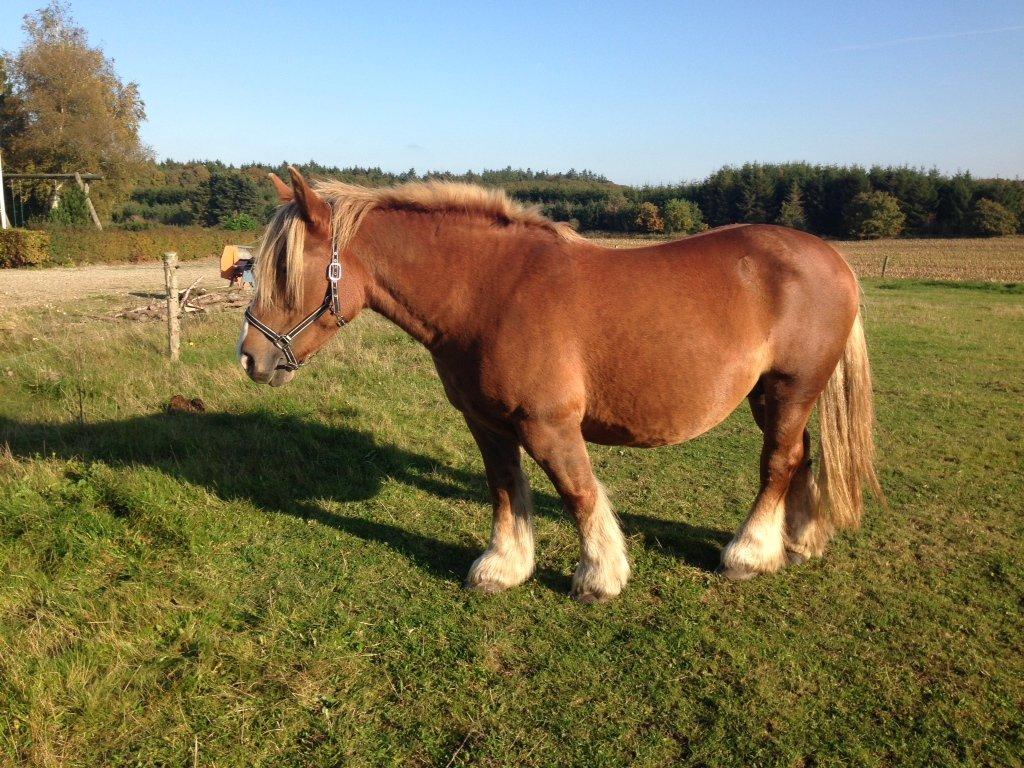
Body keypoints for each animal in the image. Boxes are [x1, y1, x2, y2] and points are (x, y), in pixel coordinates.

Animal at [237, 166, 880, 602]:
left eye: (286, 270)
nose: (250, 358)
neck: (489, 291)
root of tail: (835, 260)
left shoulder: (549, 425)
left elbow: (578, 493)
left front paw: (599, 576)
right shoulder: (487, 423)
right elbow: (504, 489)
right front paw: (503, 566)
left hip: (791, 388)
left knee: (778, 462)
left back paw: (749, 553)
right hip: (771, 396)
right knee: (801, 456)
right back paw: (798, 543)